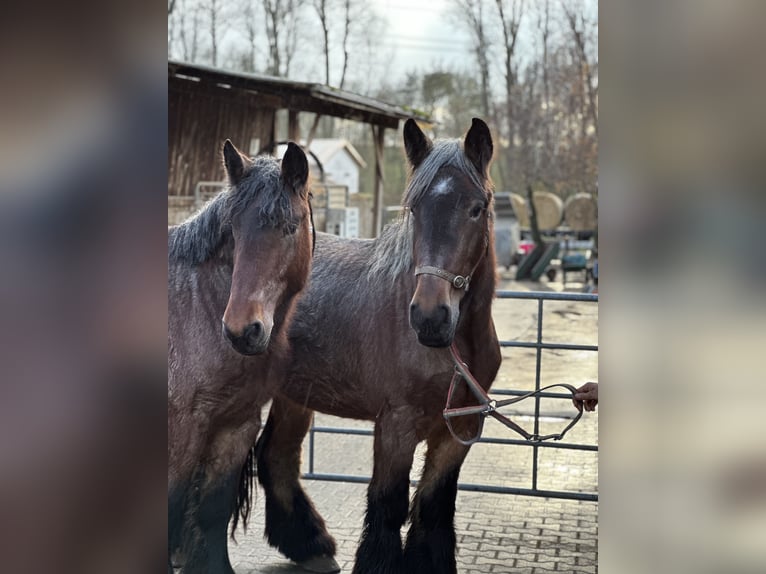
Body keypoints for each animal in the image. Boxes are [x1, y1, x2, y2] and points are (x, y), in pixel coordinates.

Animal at [170, 141, 314, 574]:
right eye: (233, 230)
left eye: (289, 227)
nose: (241, 330)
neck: (196, 306)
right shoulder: (183, 429)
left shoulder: (236, 425)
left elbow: (212, 510)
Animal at [254, 118, 504, 574]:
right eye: (414, 209)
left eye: (476, 208)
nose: (429, 317)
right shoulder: (396, 426)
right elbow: (388, 505)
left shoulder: (459, 432)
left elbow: (434, 505)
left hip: (294, 396)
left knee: (276, 456)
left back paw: (311, 546)